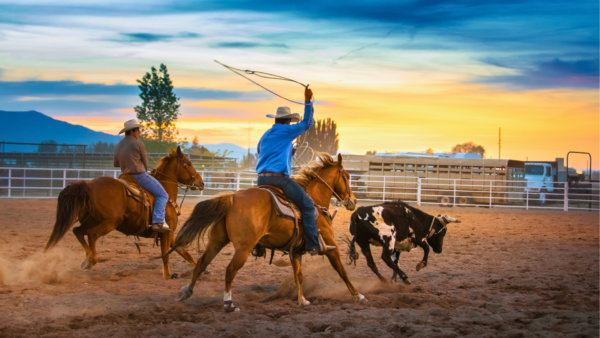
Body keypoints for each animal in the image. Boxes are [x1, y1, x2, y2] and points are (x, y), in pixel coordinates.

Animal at [44, 147, 204, 278]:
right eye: (188, 164)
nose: (201, 182)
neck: (166, 194)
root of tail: (88, 186)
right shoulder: (166, 233)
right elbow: (166, 256)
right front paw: (168, 275)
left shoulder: (169, 235)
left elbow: (184, 252)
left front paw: (201, 269)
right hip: (110, 222)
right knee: (91, 234)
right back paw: (91, 260)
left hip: (91, 220)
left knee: (78, 231)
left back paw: (87, 260)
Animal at [169, 153, 366, 312]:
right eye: (347, 176)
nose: (353, 201)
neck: (315, 203)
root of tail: (233, 197)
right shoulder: (331, 246)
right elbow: (342, 271)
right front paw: (358, 295)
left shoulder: (296, 251)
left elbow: (299, 275)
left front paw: (302, 300)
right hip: (243, 248)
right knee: (230, 270)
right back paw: (229, 304)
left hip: (217, 241)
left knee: (201, 263)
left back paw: (185, 292)